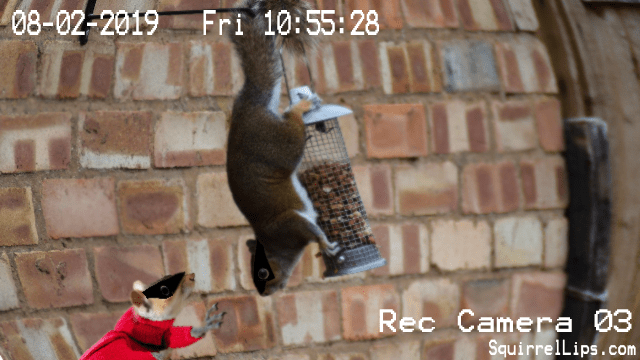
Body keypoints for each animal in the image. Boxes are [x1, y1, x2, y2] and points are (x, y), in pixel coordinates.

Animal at [79, 272, 225, 360]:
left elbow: (176, 336)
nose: (192, 275)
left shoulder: (165, 336)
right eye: (164, 290)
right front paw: (206, 324)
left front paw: (202, 326)